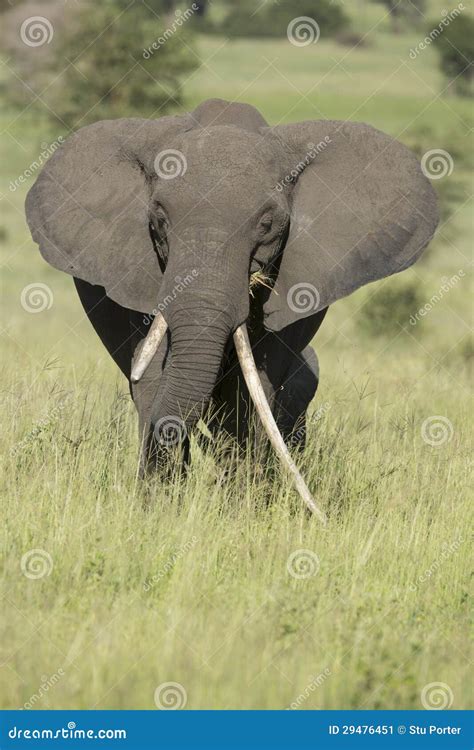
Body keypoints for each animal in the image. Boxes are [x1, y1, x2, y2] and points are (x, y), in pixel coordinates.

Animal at [24, 98, 438, 524]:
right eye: (159, 221)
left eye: (267, 224)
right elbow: (153, 377)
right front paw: (160, 511)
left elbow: (249, 389)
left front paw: (241, 511)